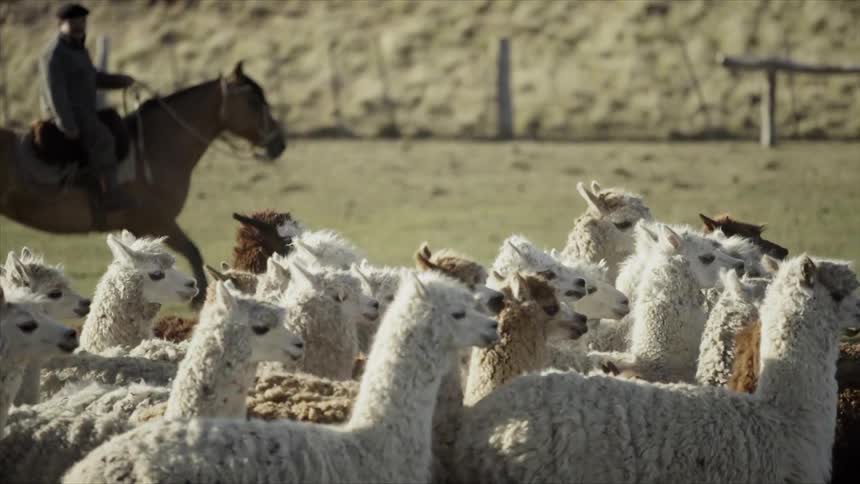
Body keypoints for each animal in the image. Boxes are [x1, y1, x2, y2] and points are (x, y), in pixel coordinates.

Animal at [0, 61, 286, 307]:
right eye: (252, 101)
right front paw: (200, 297)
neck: (151, 148)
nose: (279, 143)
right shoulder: (157, 221)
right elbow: (193, 251)